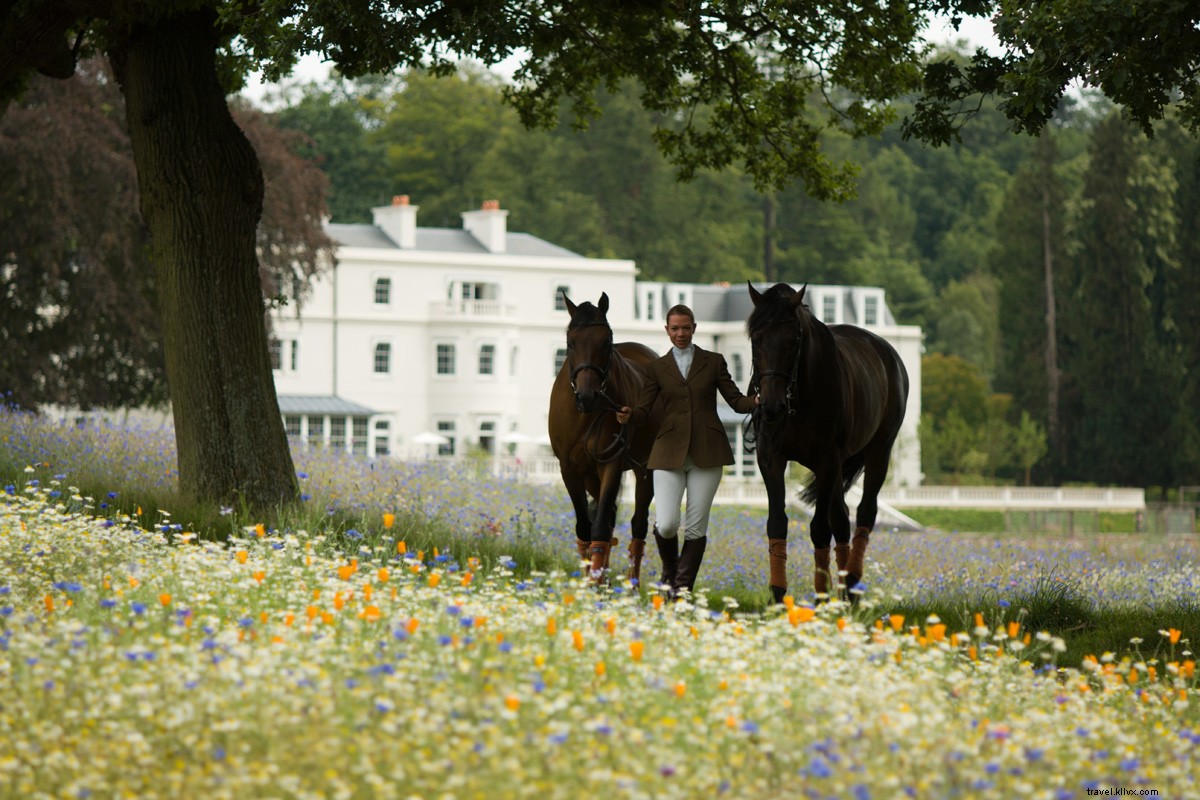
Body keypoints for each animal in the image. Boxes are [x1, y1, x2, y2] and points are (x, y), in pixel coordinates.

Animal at [548, 292, 659, 583]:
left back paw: (632, 585)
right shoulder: (569, 469)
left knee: (637, 525)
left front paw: (596, 581)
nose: (588, 396)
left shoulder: (611, 463)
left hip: (645, 469)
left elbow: (598, 528)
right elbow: (586, 528)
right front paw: (592, 579)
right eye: (570, 343)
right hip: (590, 475)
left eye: (606, 342)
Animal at [745, 281, 909, 603]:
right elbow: (777, 522)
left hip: (878, 451)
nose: (771, 406)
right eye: (756, 339)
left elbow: (820, 528)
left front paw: (822, 592)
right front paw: (778, 594)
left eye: (793, 340)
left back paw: (853, 582)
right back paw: (845, 587)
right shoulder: (770, 457)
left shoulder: (828, 458)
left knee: (864, 512)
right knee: (842, 517)